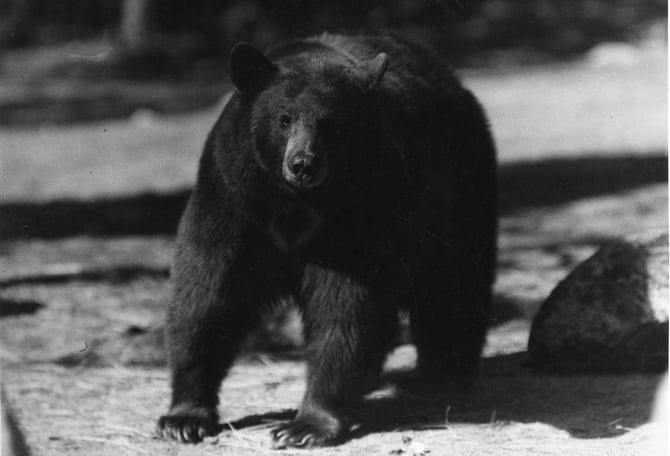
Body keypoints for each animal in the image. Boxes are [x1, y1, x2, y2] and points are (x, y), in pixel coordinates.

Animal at [156, 31, 497, 448]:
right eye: (284, 119)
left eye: (334, 125)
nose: (303, 164)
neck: (294, 204)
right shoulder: (232, 201)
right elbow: (206, 295)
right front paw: (183, 417)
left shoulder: (362, 214)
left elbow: (346, 308)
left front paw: (305, 425)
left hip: (458, 190)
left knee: (455, 286)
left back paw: (444, 373)